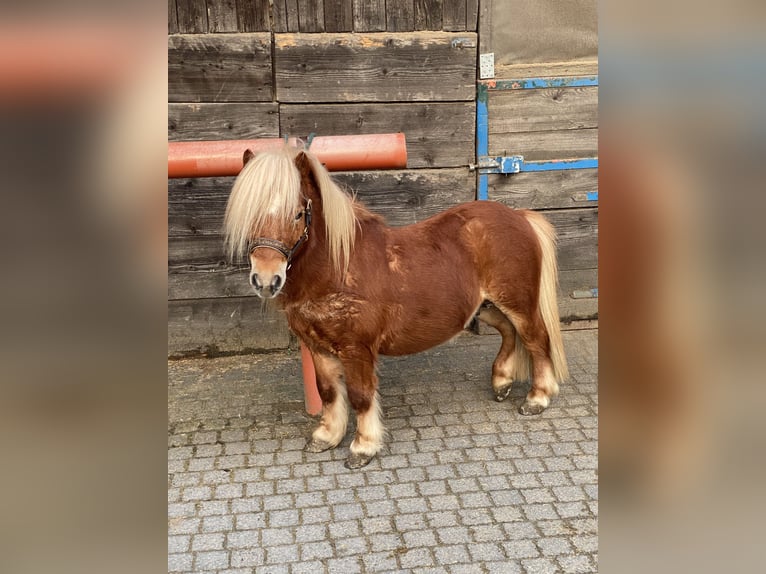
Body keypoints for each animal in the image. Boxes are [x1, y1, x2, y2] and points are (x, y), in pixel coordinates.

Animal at [223, 144, 568, 469]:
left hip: (518, 304)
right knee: (510, 333)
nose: (265, 280)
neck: (338, 266)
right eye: (250, 215)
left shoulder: (356, 349)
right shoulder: (317, 347)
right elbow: (329, 392)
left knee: (537, 340)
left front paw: (363, 447)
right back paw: (501, 382)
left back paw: (537, 398)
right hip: (487, 306)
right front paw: (327, 436)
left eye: (297, 214)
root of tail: (519, 216)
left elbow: (361, 396)